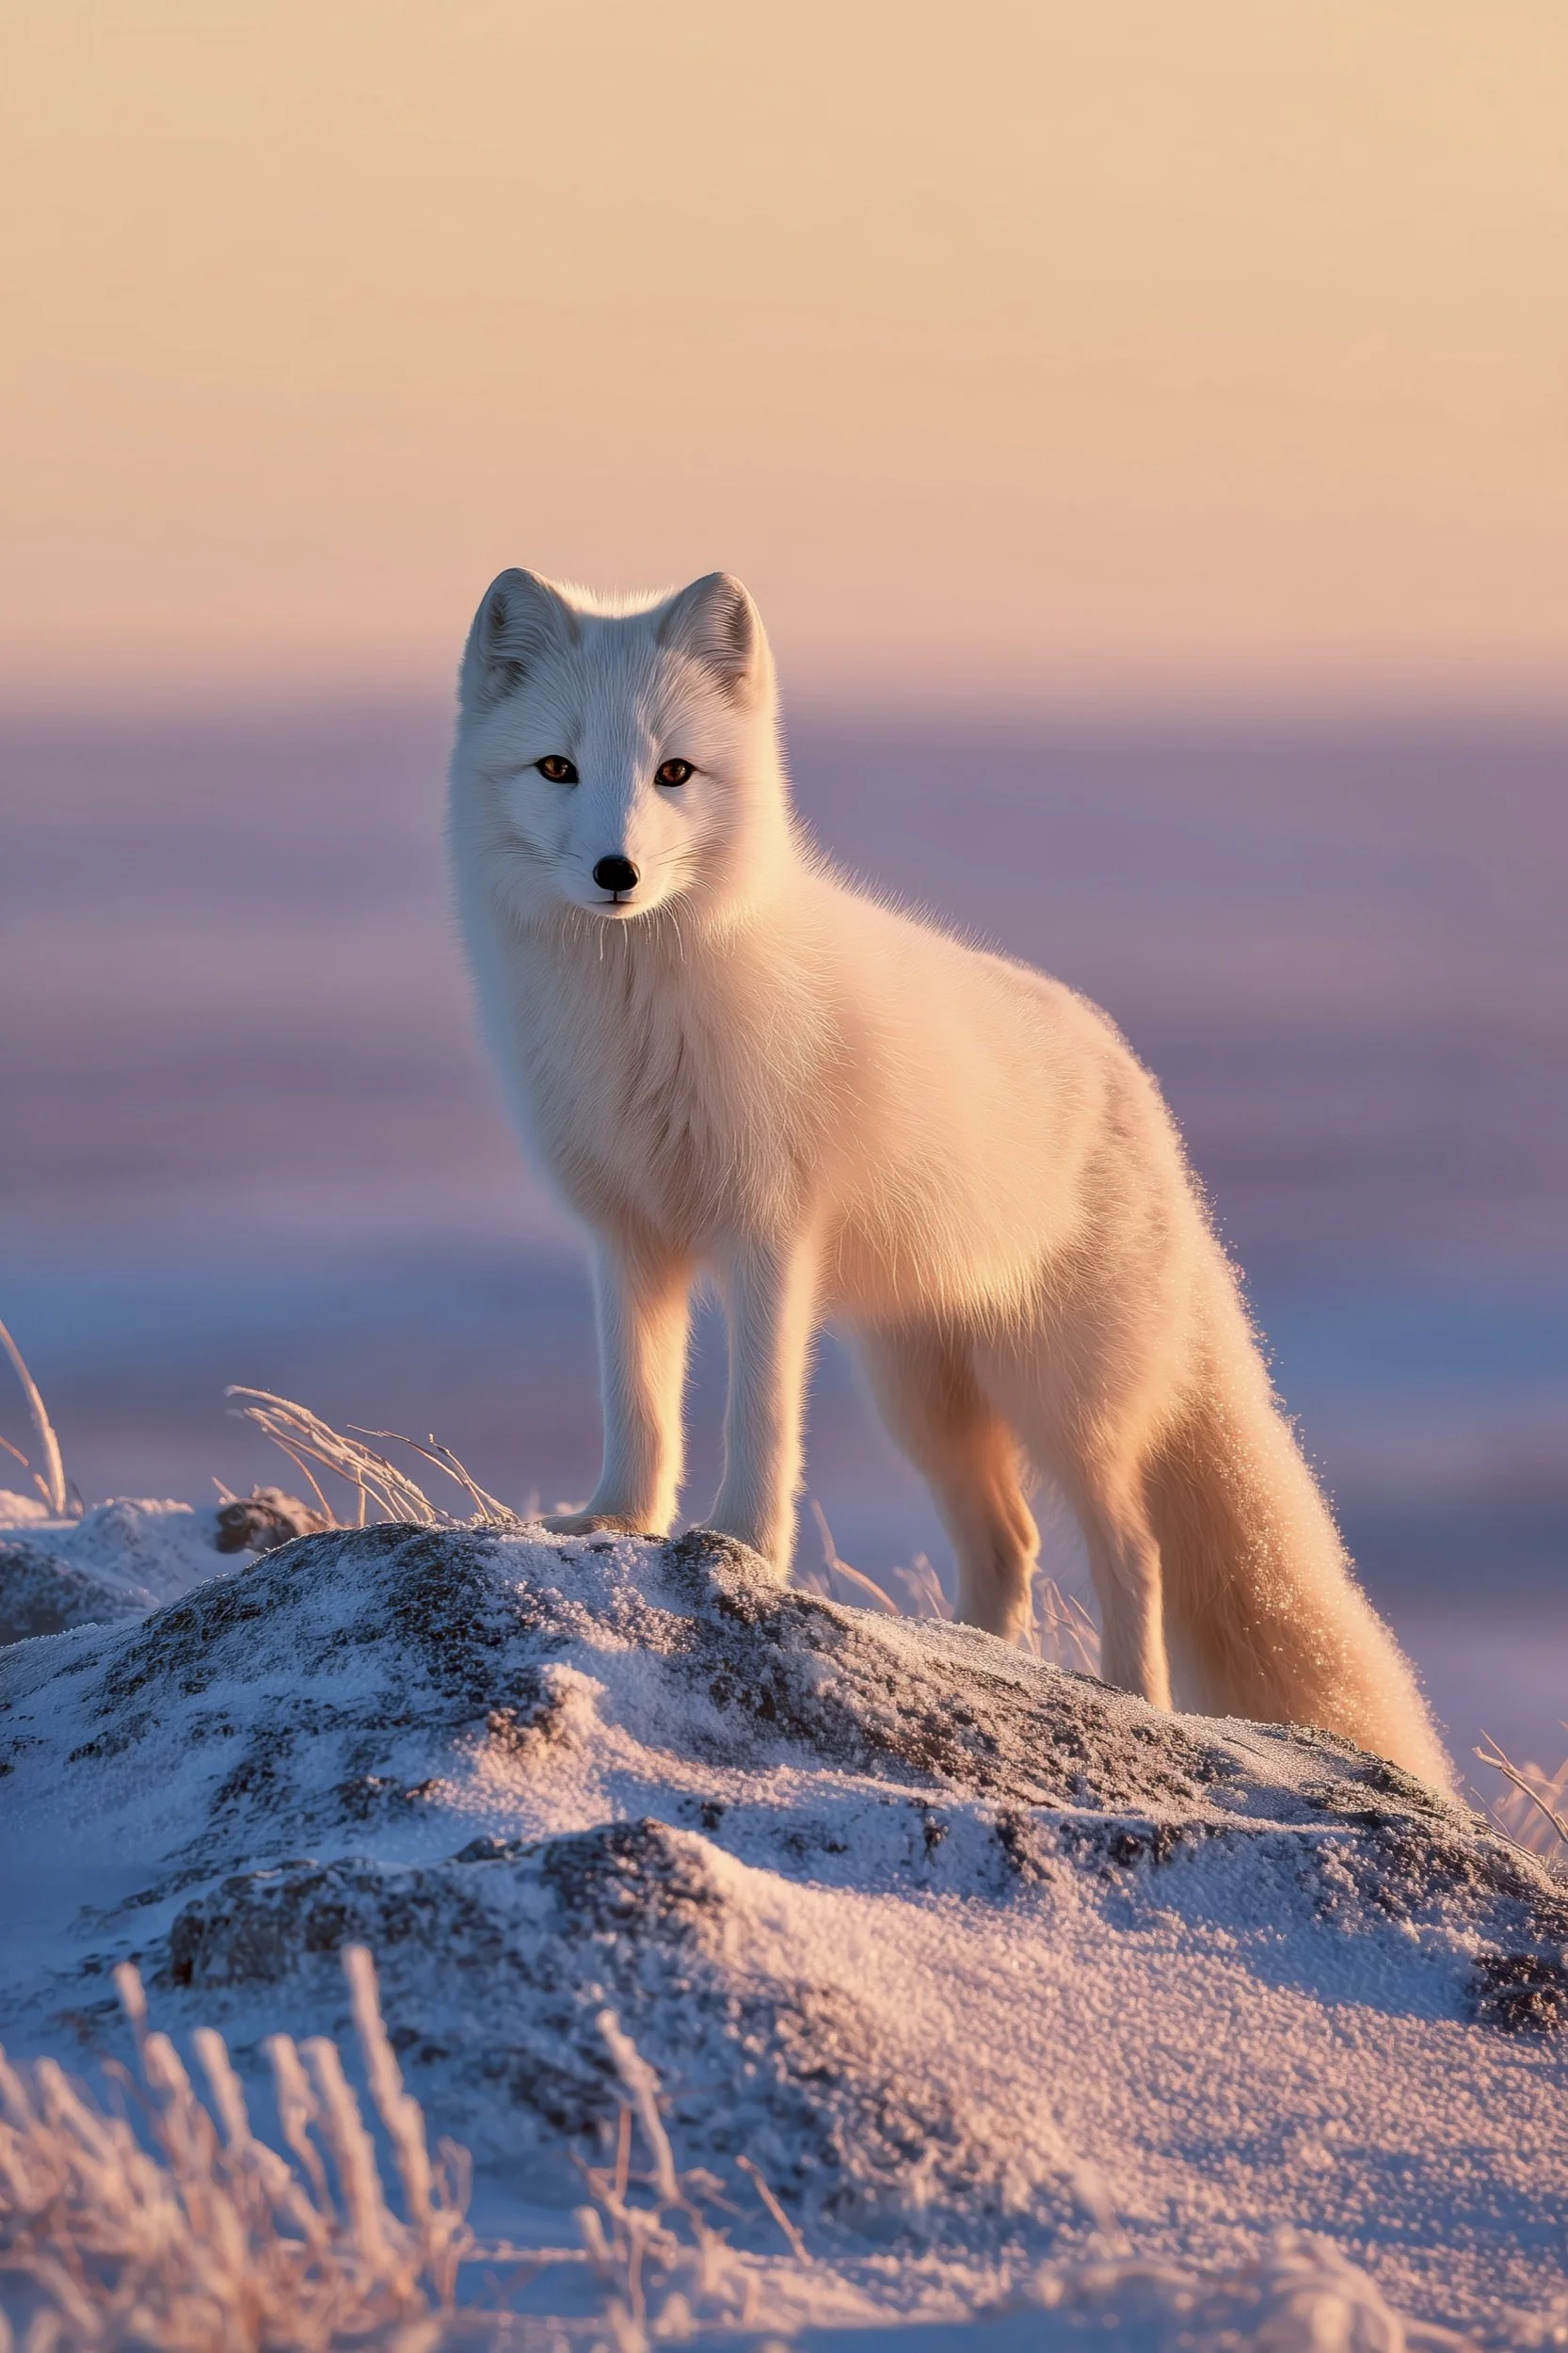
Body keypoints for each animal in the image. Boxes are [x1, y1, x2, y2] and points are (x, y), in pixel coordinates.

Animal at [447, 566, 1453, 1792]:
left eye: (673, 772)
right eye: (557, 768)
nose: (617, 872)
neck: (632, 1005)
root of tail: (1138, 1091)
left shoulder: (768, 1235)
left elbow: (757, 1416)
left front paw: (740, 1545)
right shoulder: (629, 1236)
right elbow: (637, 1404)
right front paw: (612, 1522)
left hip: (1063, 1392)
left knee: (1134, 1549)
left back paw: (1130, 1695)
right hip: (922, 1394)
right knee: (1010, 1542)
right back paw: (974, 1661)